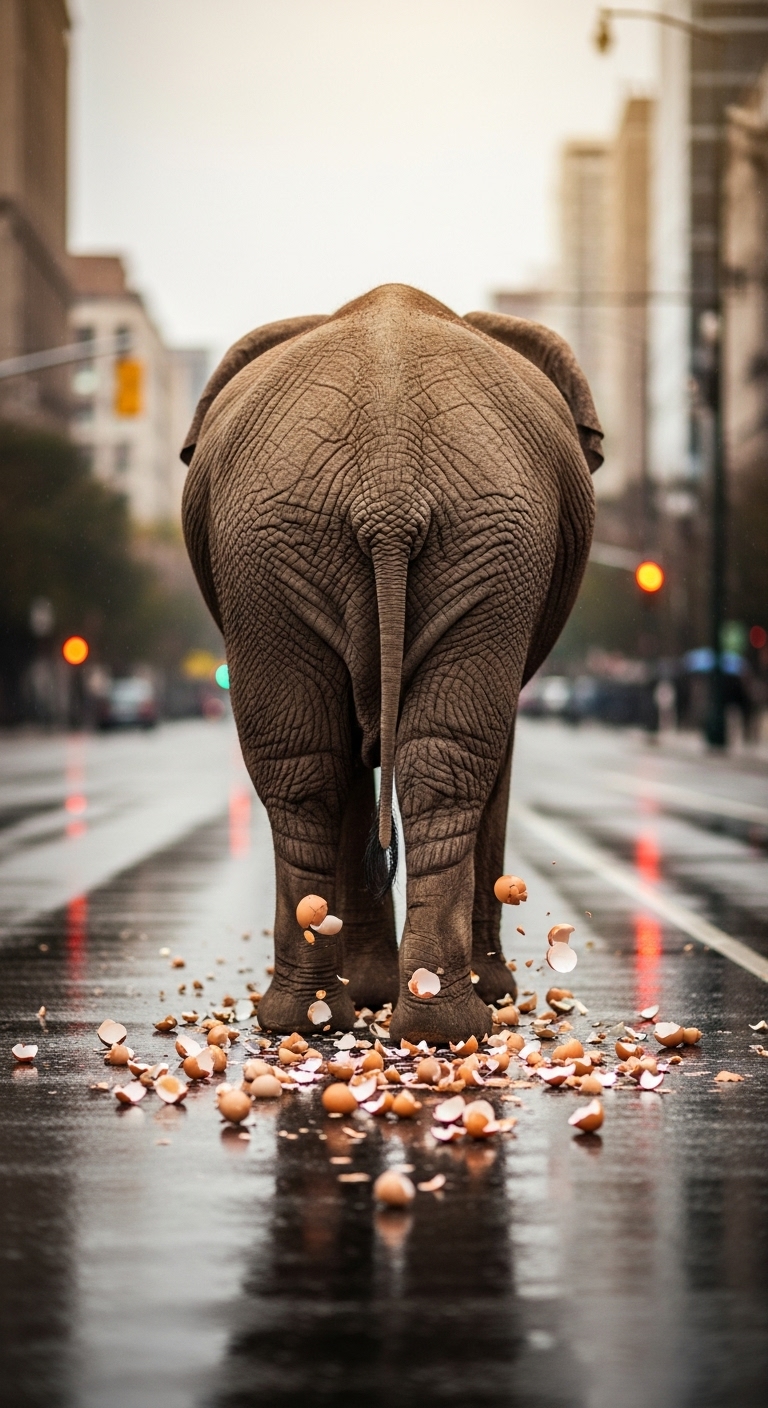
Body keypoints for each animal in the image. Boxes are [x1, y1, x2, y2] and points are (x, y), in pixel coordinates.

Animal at [181, 284, 601, 1045]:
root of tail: (389, 488)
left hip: (430, 545)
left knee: (319, 768)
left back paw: (375, 1023)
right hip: (301, 543)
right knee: (389, 763)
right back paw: (399, 1020)